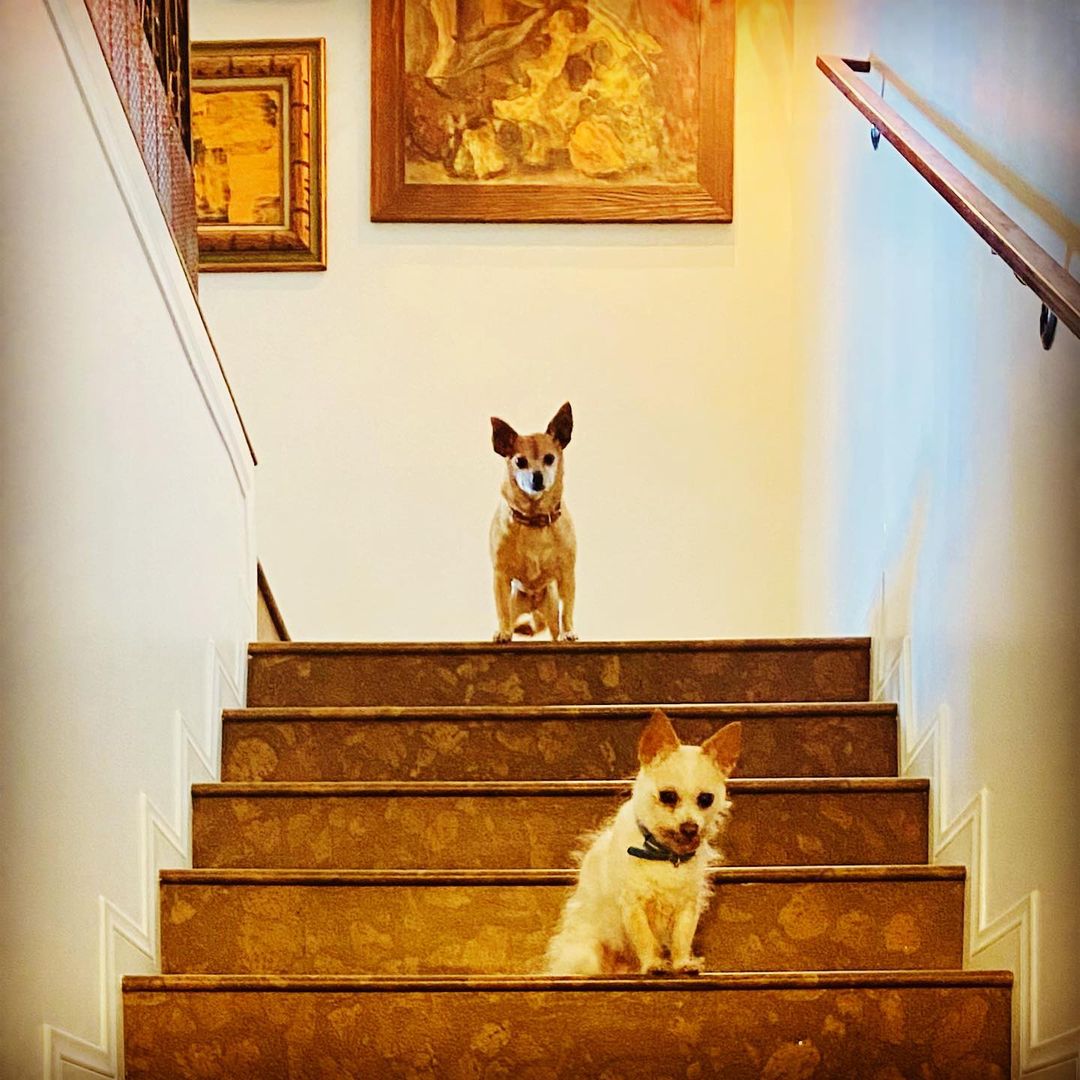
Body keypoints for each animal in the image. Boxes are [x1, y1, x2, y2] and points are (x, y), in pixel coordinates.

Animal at [489, 402, 577, 642]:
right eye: (520, 461)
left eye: (550, 458)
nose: (537, 476)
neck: (534, 518)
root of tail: (533, 602)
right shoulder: (501, 576)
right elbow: (501, 609)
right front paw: (503, 632)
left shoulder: (567, 575)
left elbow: (568, 609)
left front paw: (569, 631)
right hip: (516, 604)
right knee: (509, 613)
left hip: (551, 611)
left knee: (555, 627)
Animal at [545, 709, 742, 975]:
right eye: (668, 796)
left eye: (706, 799)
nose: (690, 828)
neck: (665, 854)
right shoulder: (633, 905)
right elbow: (646, 939)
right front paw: (653, 964)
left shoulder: (687, 907)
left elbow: (682, 938)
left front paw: (682, 963)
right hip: (588, 953)